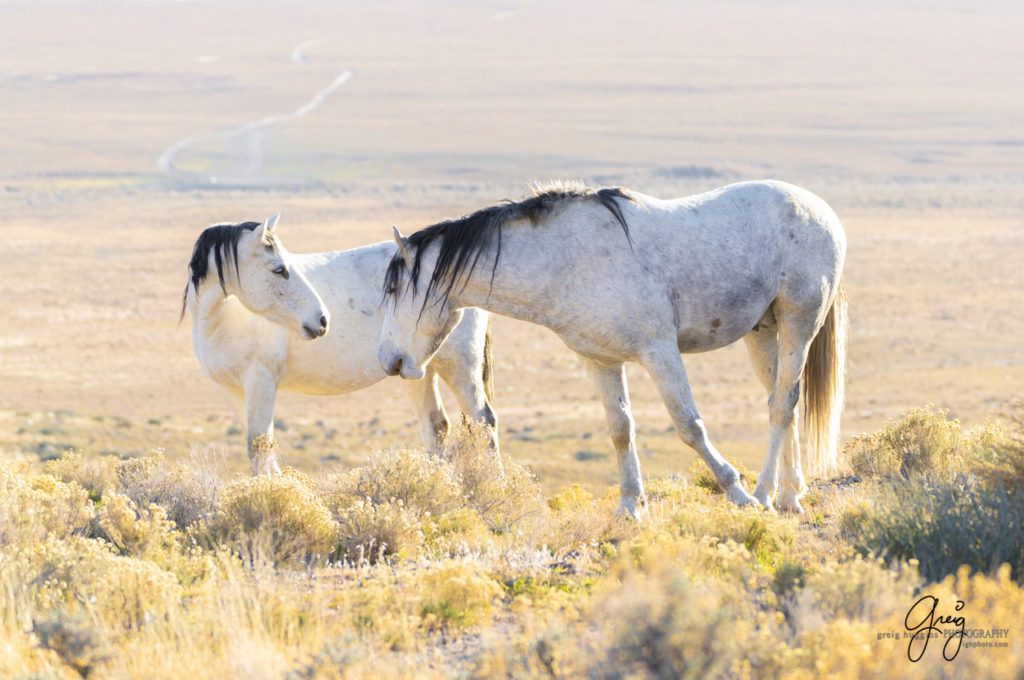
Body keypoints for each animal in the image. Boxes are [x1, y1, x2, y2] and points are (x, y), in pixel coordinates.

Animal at [186, 215, 501, 475]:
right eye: (279, 270)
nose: (322, 320)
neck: (225, 318)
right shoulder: (231, 389)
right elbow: (260, 451)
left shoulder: (260, 383)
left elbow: (259, 447)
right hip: (418, 369)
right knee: (435, 426)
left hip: (459, 368)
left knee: (483, 421)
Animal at [380, 180, 843, 516]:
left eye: (394, 289)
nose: (389, 362)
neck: (567, 262)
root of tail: (823, 209)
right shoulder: (599, 361)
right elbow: (620, 431)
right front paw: (629, 507)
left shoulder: (660, 352)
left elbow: (689, 426)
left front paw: (737, 493)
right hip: (762, 332)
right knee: (782, 402)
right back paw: (790, 495)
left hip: (799, 322)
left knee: (782, 404)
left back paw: (764, 494)